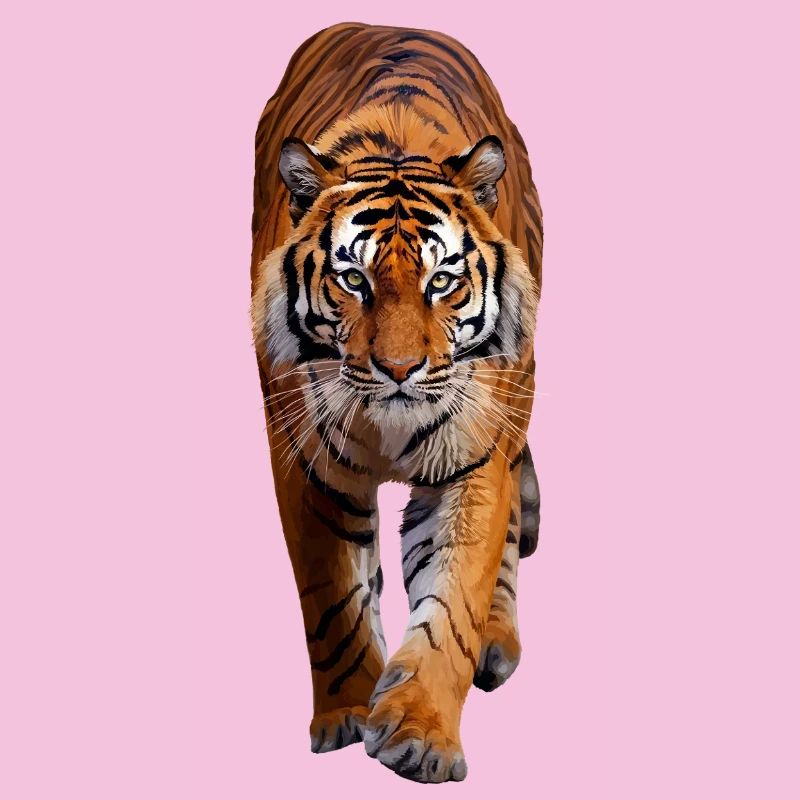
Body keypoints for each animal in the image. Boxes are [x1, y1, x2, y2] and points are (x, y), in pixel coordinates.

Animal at [250, 22, 543, 783]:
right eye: (353, 279)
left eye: (442, 280)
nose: (400, 370)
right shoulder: (306, 462)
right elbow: (333, 600)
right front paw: (350, 712)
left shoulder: (475, 457)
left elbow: (455, 597)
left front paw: (420, 738)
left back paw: (497, 644)